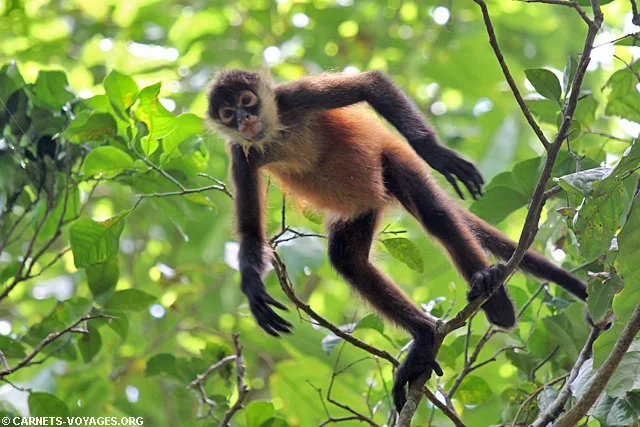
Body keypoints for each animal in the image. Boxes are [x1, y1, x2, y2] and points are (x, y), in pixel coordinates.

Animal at [206, 69, 588, 412]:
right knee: (348, 261)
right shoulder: (240, 152)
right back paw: (425, 338)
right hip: (359, 207)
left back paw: (494, 298)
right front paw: (253, 288)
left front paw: (434, 151)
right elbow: (250, 231)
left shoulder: (291, 98)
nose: (243, 119)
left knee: (436, 215)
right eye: (227, 114)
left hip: (390, 161)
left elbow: (372, 83)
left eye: (246, 100)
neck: (274, 133)